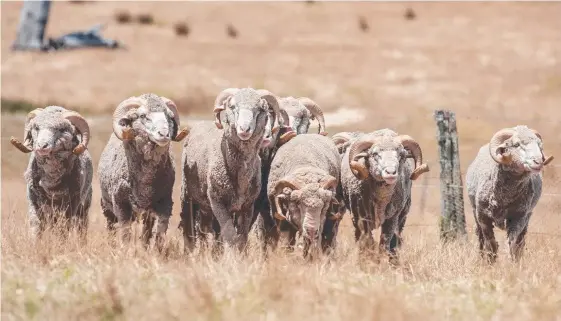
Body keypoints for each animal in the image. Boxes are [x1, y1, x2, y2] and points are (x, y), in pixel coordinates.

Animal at [9, 105, 92, 240]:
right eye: (36, 127)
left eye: (61, 129)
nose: (42, 146)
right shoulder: (34, 202)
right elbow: (36, 227)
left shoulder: (71, 204)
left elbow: (64, 230)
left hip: (83, 207)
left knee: (81, 228)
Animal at [98, 92, 188, 250]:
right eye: (142, 116)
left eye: (169, 115)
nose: (164, 134)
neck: (145, 181)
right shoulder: (121, 205)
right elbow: (126, 235)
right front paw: (126, 251)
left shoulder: (164, 203)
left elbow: (160, 233)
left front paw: (156, 252)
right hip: (107, 206)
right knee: (111, 228)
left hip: (146, 213)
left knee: (146, 232)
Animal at [179, 87, 284, 252]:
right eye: (233, 107)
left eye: (261, 109)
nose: (244, 129)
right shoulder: (217, 202)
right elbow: (229, 234)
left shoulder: (247, 206)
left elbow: (241, 238)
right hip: (188, 194)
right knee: (190, 228)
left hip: (206, 207)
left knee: (207, 230)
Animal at [342, 129, 428, 262]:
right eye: (375, 154)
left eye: (402, 155)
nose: (391, 172)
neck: (381, 199)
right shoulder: (361, 217)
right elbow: (368, 242)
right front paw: (368, 261)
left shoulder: (392, 217)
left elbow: (385, 243)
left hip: (402, 215)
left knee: (396, 241)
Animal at [466, 125, 552, 262]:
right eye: (516, 144)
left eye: (539, 145)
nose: (539, 161)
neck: (505, 198)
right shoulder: (483, 216)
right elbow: (490, 243)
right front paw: (490, 262)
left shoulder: (518, 217)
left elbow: (512, 244)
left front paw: (512, 263)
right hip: (475, 212)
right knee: (480, 238)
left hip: (527, 217)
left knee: (521, 241)